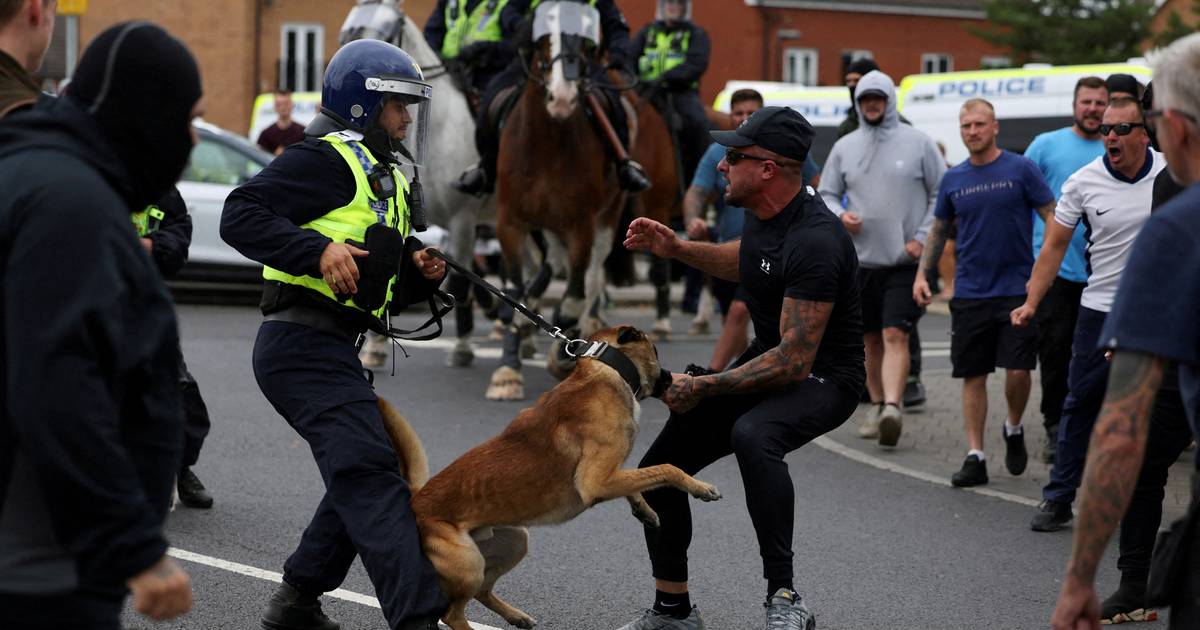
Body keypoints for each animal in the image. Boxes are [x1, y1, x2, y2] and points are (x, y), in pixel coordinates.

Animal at [379, 324, 720, 628]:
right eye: (656, 351)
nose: (676, 377)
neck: (605, 371)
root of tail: (417, 500)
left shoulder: (610, 476)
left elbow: (637, 478)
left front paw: (644, 510)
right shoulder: (596, 481)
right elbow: (665, 468)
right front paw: (700, 487)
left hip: (515, 540)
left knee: (483, 592)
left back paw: (516, 616)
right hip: (468, 563)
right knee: (451, 613)